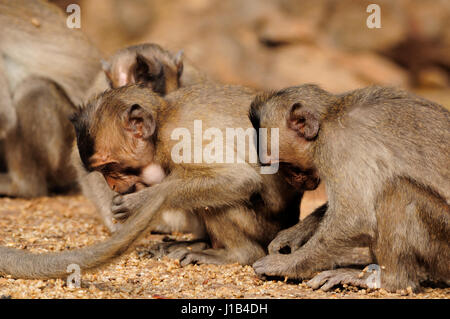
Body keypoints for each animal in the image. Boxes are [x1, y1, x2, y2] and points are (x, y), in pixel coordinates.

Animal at [250, 84, 450, 292]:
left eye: (282, 165)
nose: (291, 181)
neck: (328, 117)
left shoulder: (336, 144)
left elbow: (355, 218)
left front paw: (286, 264)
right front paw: (292, 235)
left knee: (395, 191)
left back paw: (389, 281)